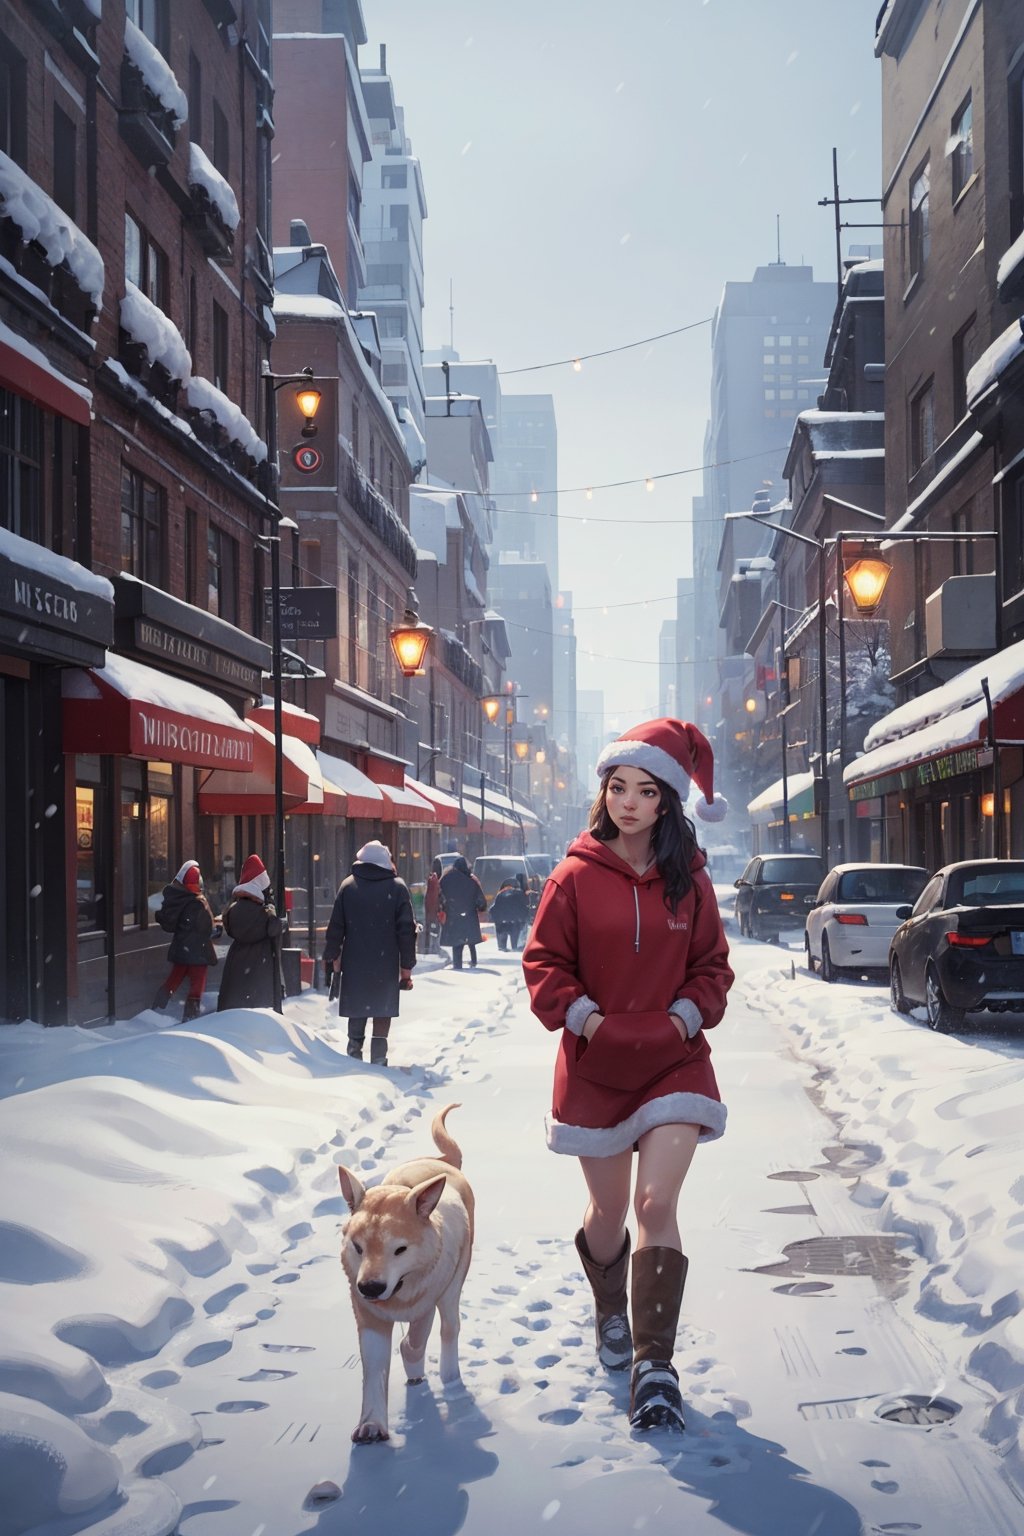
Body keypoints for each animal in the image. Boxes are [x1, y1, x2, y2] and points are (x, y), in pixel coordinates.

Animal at [340, 1105, 475, 1437]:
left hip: (454, 1282)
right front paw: (371, 1425)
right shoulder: (367, 1313)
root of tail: (443, 1161)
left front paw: (415, 1369)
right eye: (358, 1247)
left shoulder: (425, 1303)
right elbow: (374, 1367)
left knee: (450, 1326)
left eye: (399, 1249)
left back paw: (450, 1378)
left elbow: (414, 1343)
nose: (371, 1287)